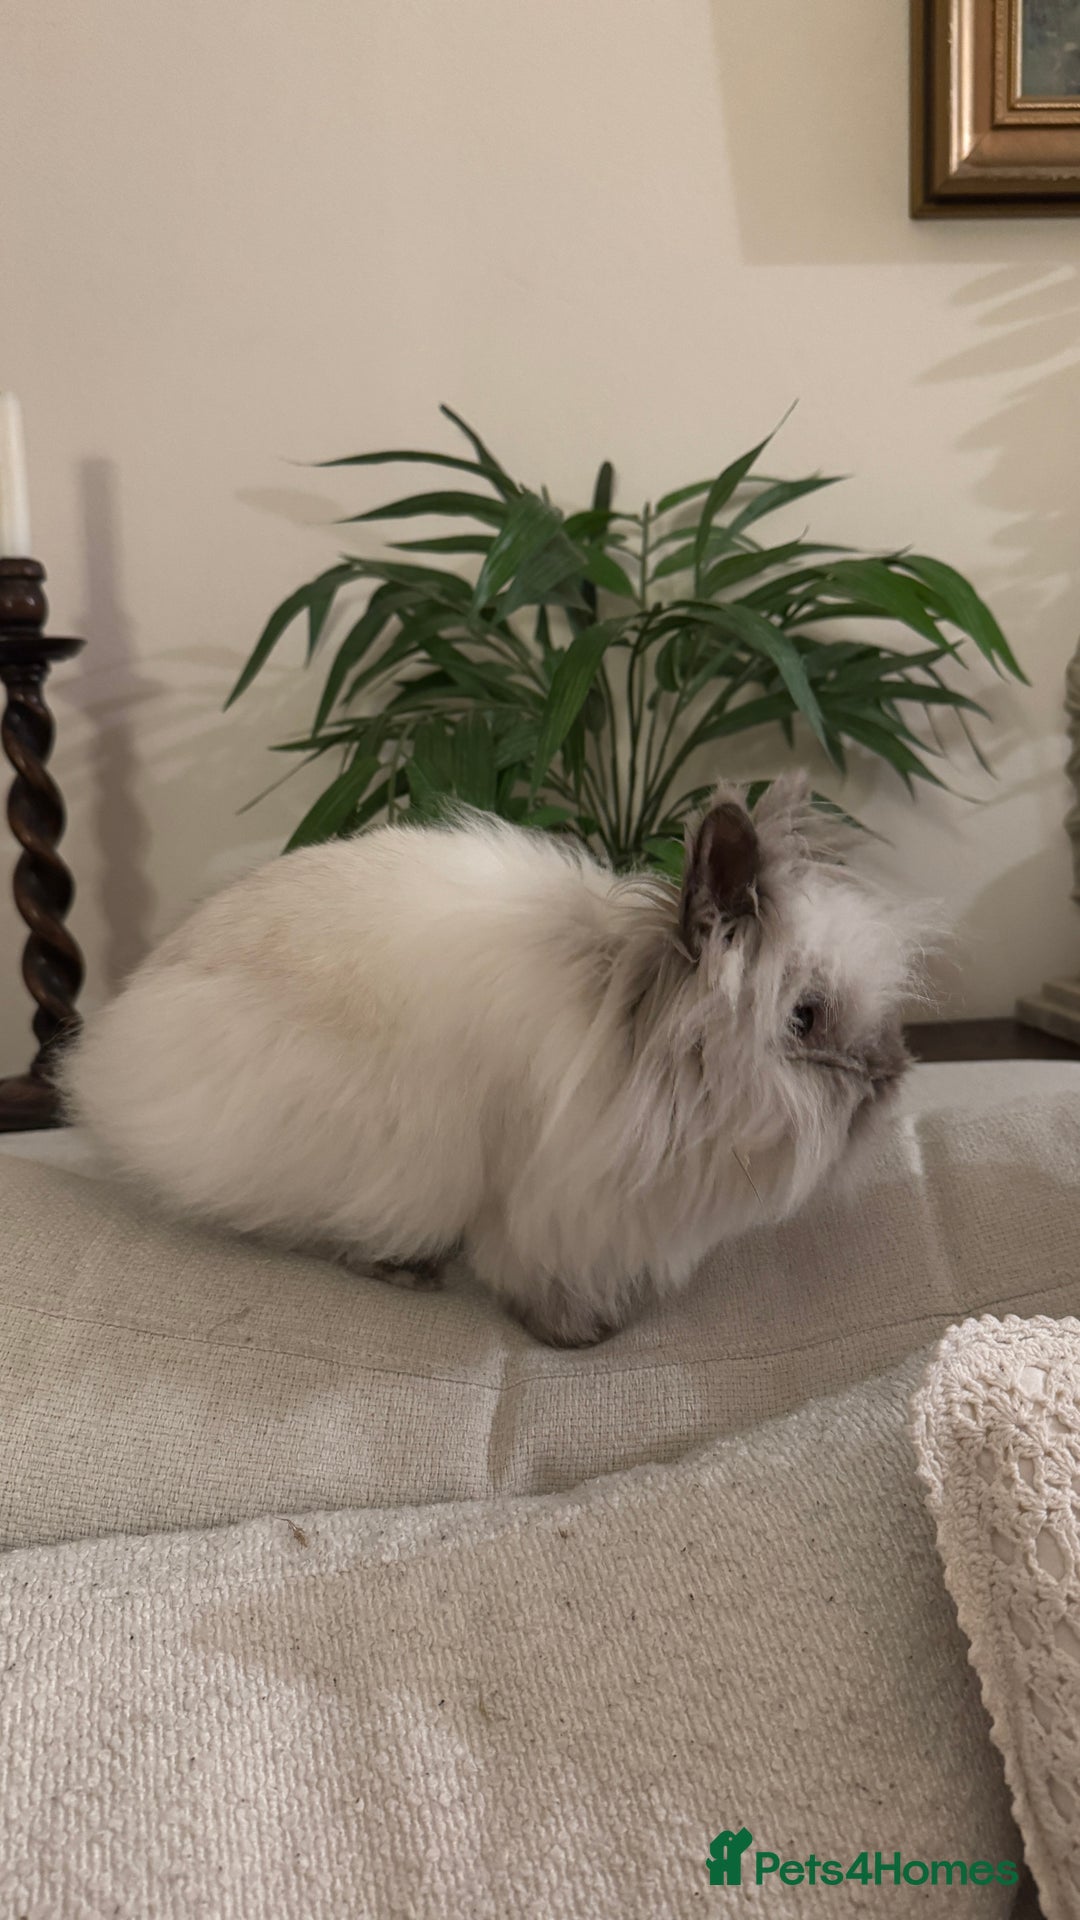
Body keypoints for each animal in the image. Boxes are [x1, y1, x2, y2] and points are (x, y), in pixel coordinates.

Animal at [60, 772, 922, 1347]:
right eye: (804, 1017)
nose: (892, 1078)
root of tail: (119, 1036)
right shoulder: (548, 1201)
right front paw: (578, 1332)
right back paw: (401, 1269)